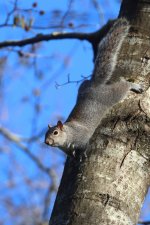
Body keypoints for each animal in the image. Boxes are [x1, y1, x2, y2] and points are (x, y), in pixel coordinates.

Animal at [44, 18, 143, 156]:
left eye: (55, 132)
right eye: (45, 134)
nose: (46, 142)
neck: (69, 134)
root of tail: (94, 85)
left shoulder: (82, 136)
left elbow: (84, 144)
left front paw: (82, 154)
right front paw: (73, 154)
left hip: (110, 95)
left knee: (123, 87)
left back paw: (132, 85)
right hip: (82, 86)